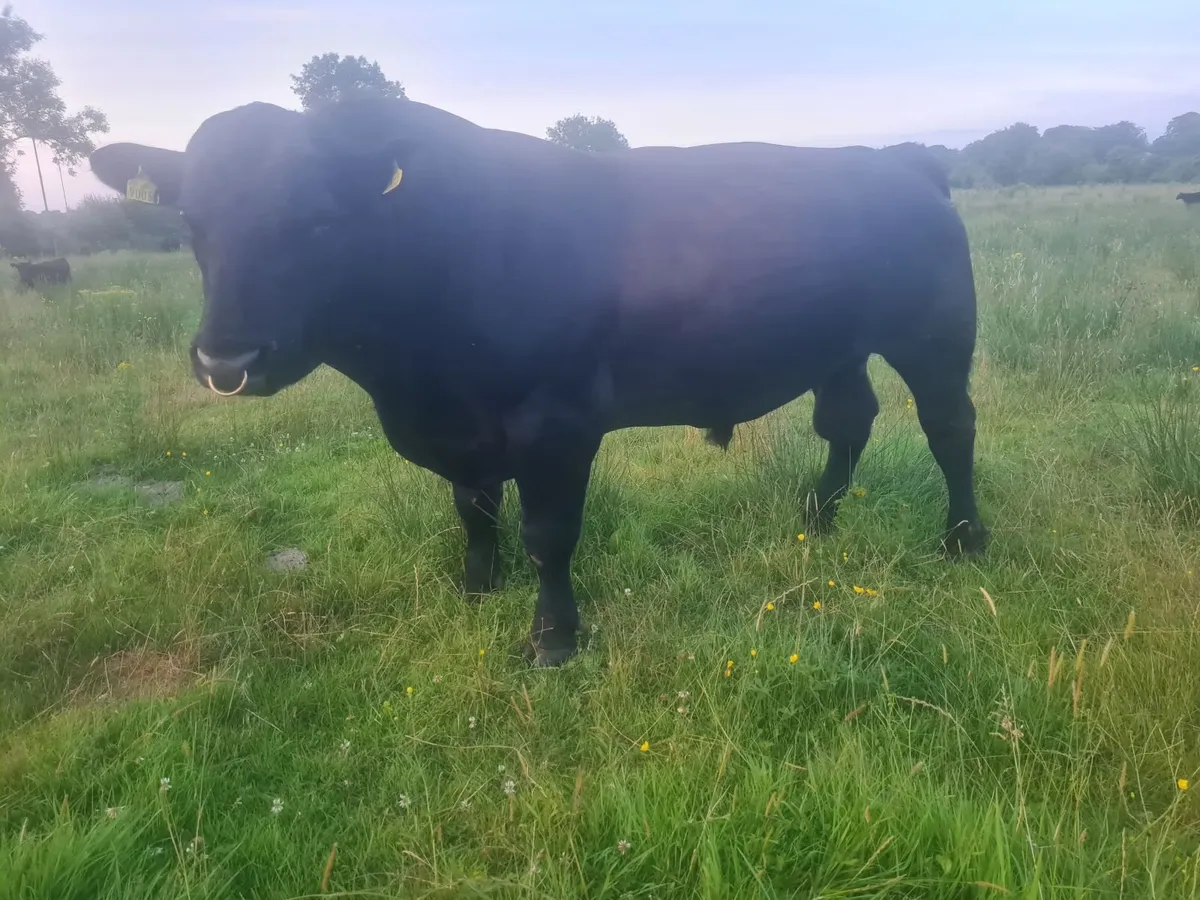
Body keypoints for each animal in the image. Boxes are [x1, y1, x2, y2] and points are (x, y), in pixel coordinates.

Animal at [88, 96, 988, 667]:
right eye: (193, 222)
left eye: (315, 220)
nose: (225, 364)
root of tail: (898, 160)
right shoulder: (462, 429)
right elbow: (474, 509)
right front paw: (476, 589)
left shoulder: (556, 424)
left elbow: (548, 534)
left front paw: (552, 639)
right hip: (839, 345)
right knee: (848, 420)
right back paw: (818, 516)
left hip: (935, 336)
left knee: (949, 428)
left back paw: (964, 540)